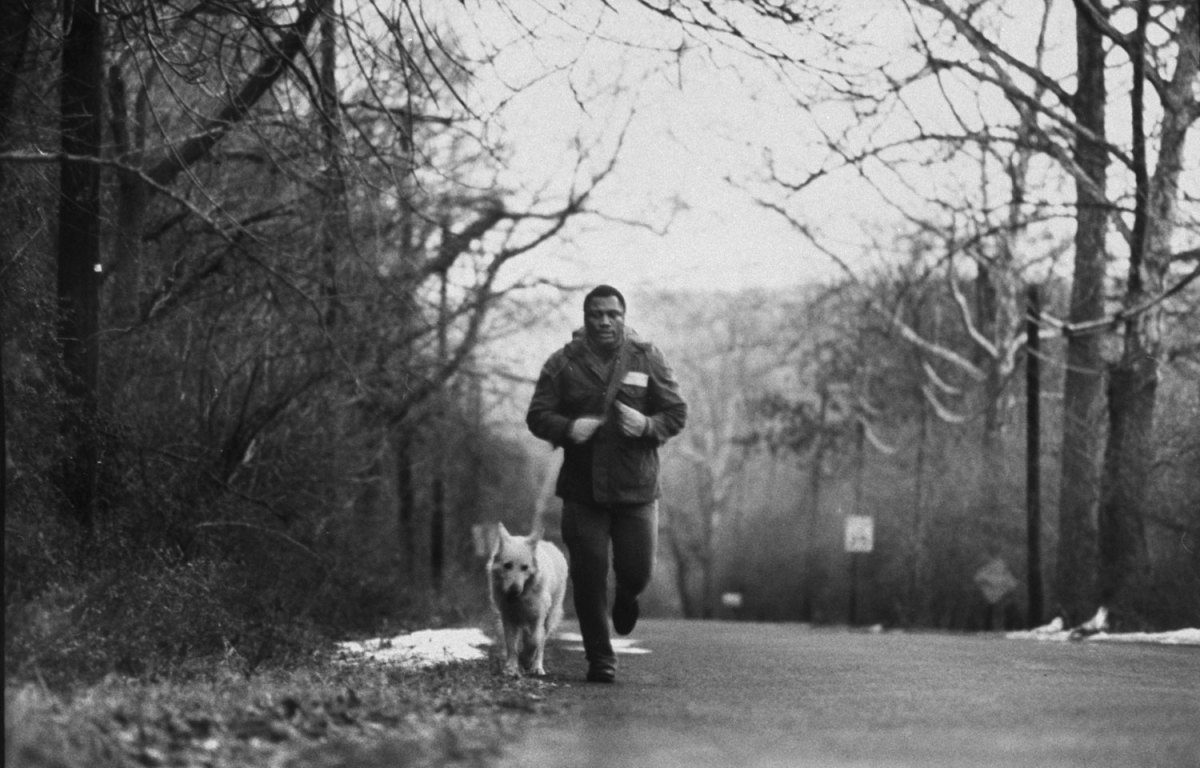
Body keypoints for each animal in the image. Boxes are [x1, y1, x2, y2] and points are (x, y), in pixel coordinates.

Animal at [487, 523, 566, 676]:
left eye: (525, 567)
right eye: (507, 565)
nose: (514, 590)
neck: (521, 598)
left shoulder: (537, 617)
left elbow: (534, 641)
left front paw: (526, 660)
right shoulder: (508, 617)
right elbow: (511, 644)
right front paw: (511, 667)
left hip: (548, 619)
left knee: (541, 643)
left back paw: (537, 667)